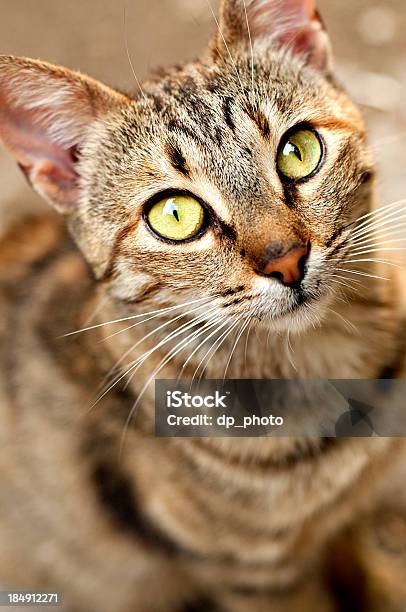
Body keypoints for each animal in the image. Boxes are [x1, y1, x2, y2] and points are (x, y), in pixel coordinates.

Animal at [0, 1, 406, 612]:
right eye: (175, 214)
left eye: (299, 151)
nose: (287, 260)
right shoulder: (257, 579)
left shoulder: (344, 521)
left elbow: (358, 564)